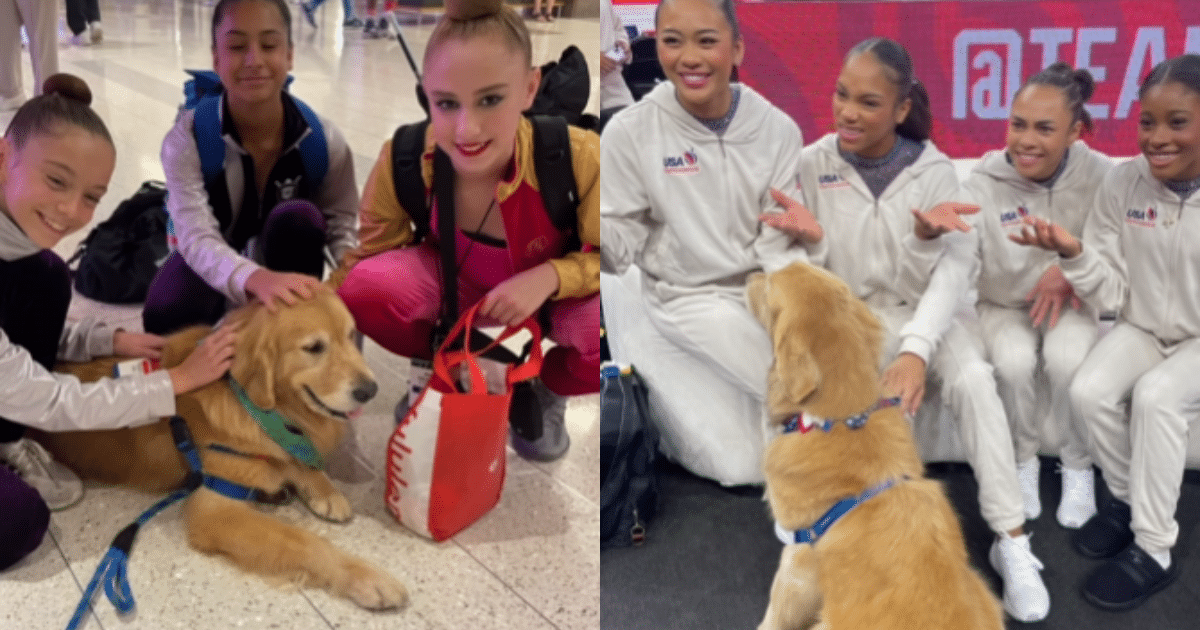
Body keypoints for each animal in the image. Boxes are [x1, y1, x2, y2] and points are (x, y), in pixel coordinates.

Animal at [32, 286, 408, 612]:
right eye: (315, 347)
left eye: (350, 335)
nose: (370, 390)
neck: (250, 404)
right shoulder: (215, 508)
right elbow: (305, 542)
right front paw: (369, 579)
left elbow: (295, 459)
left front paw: (325, 490)